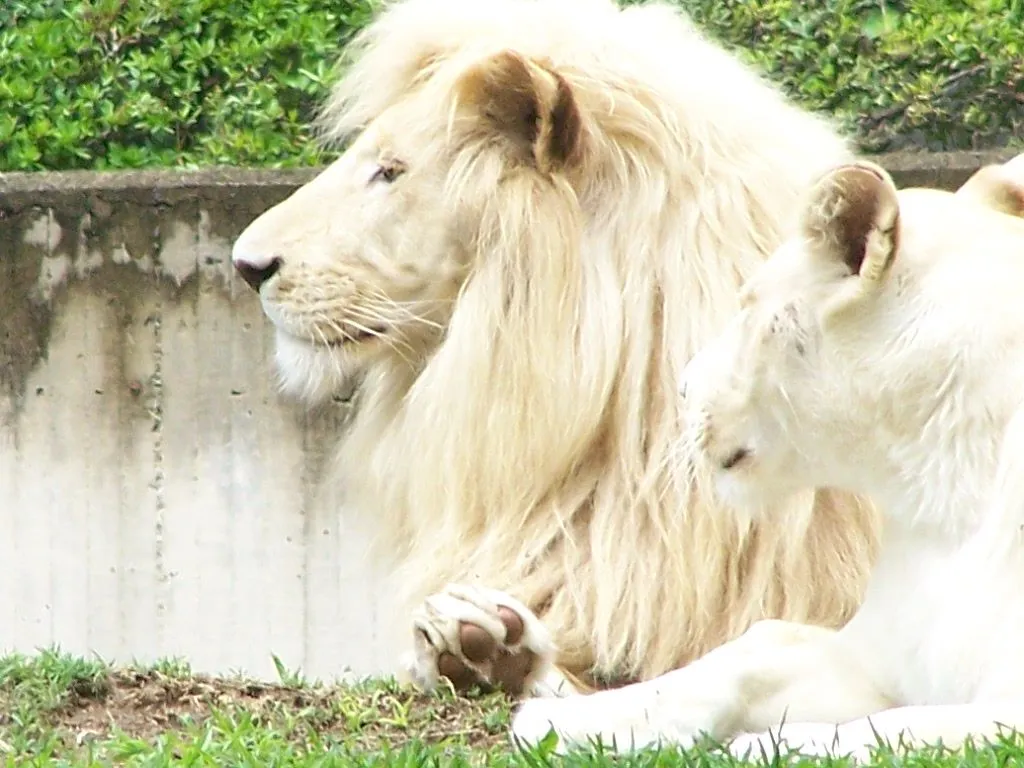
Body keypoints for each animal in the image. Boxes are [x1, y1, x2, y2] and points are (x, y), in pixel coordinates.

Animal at [512, 153, 1024, 761]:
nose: (682, 387)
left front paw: (760, 748)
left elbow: (893, 733)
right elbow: (741, 661)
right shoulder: (872, 659)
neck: (941, 491)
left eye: (748, 306)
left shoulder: (1004, 716)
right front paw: (565, 720)